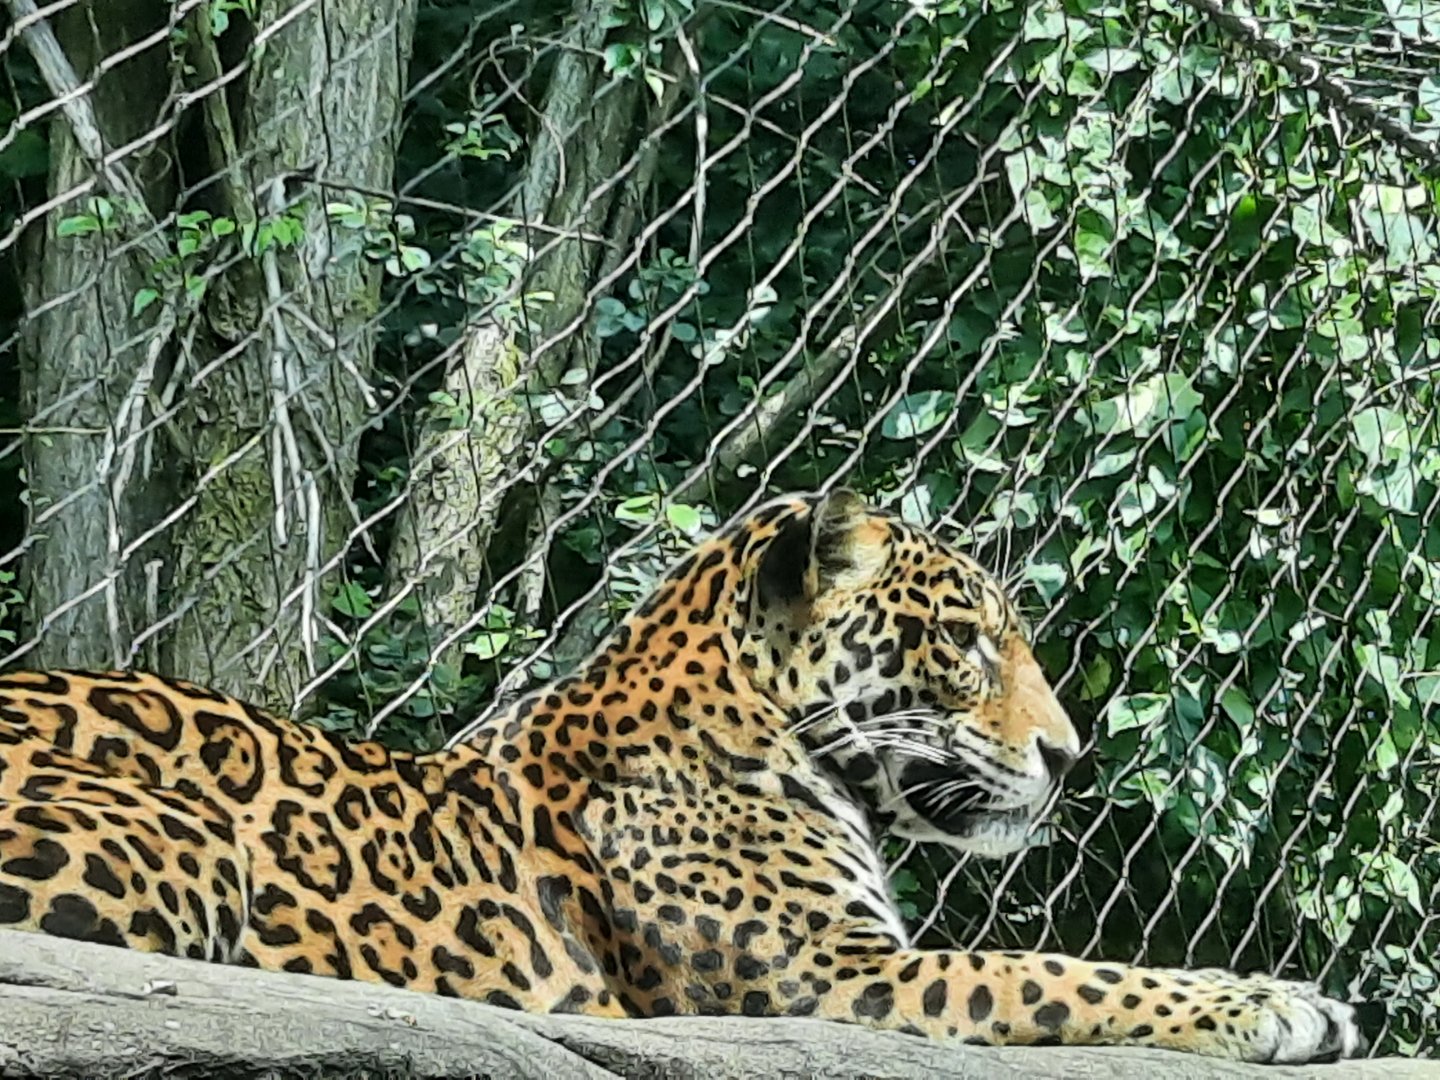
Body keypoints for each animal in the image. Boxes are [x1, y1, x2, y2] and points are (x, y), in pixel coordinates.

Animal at [0, 489, 1361, 1063]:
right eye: (966, 640)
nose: (1071, 756)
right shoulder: (831, 982)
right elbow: (1057, 972)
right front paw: (1274, 1006)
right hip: (180, 840)